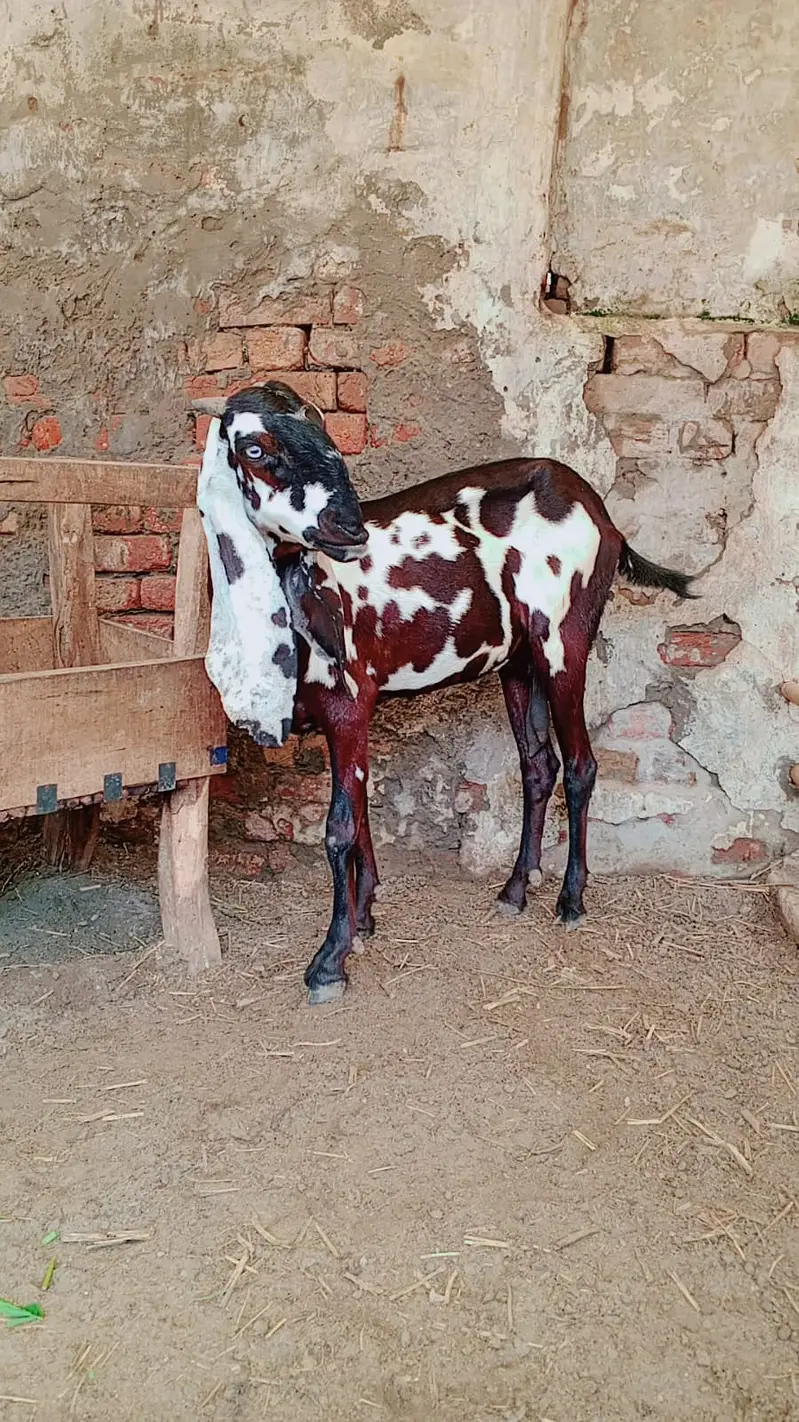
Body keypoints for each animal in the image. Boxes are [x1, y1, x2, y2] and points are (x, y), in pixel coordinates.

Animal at [203, 383, 694, 1005]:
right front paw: (363, 919)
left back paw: (570, 900)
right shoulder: (351, 715)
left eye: (323, 428)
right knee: (539, 765)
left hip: (565, 642)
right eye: (255, 449)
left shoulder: (348, 702)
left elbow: (339, 830)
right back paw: (516, 889)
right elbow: (360, 816)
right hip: (520, 662)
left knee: (582, 765)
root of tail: (601, 513)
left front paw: (330, 961)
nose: (349, 529)